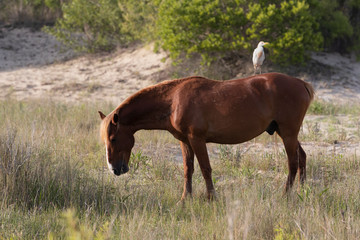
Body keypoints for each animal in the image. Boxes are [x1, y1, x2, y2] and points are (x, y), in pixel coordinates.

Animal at [97, 72, 312, 201]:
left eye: (113, 138)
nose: (115, 169)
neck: (173, 100)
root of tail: (301, 83)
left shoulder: (197, 139)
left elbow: (205, 169)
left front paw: (211, 198)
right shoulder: (185, 142)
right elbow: (188, 170)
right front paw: (185, 199)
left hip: (288, 134)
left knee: (292, 163)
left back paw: (285, 195)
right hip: (287, 133)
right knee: (302, 157)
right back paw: (302, 191)